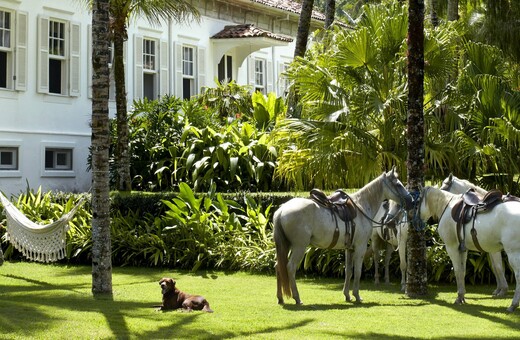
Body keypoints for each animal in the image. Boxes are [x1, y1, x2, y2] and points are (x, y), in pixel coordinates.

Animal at [274, 169, 412, 304]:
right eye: (398, 185)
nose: (411, 200)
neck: (361, 206)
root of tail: (281, 210)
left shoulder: (349, 248)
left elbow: (348, 271)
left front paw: (347, 295)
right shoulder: (360, 247)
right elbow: (357, 271)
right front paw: (357, 295)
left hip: (287, 246)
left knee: (278, 266)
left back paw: (280, 298)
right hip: (299, 247)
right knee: (290, 267)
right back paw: (297, 298)